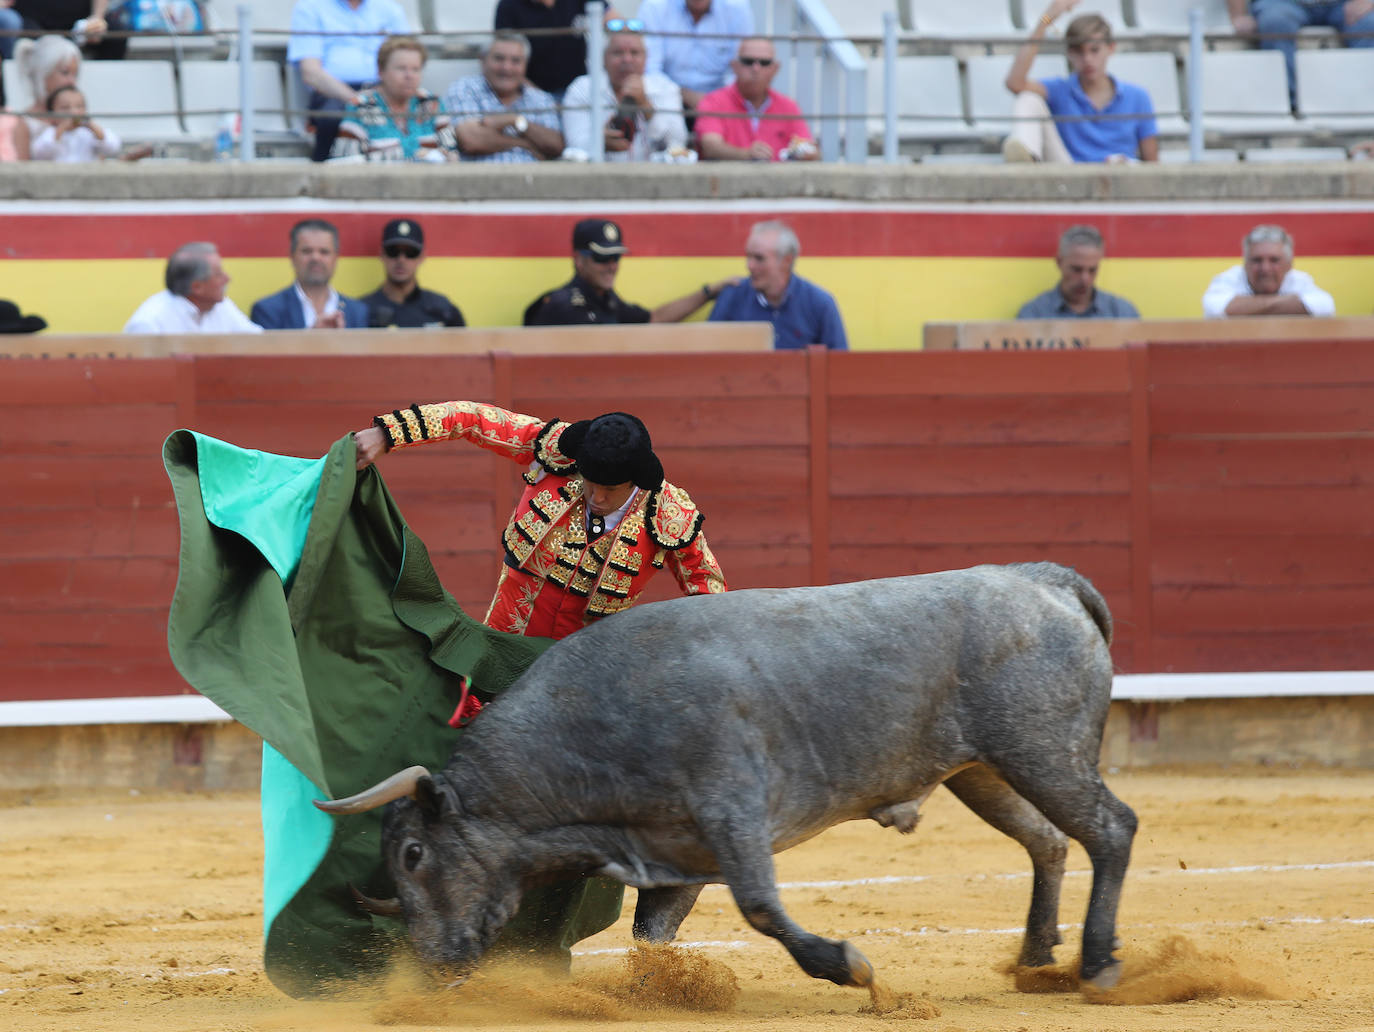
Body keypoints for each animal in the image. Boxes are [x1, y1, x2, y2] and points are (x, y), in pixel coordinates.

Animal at [318, 566, 1137, 994]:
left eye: (415, 856)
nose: (431, 969)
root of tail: (1040, 579)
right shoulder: (678, 853)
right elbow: (651, 936)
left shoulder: (733, 815)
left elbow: (761, 908)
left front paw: (847, 966)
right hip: (987, 770)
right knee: (1047, 841)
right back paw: (1036, 958)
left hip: (1041, 750)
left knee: (1111, 829)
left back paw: (1097, 963)